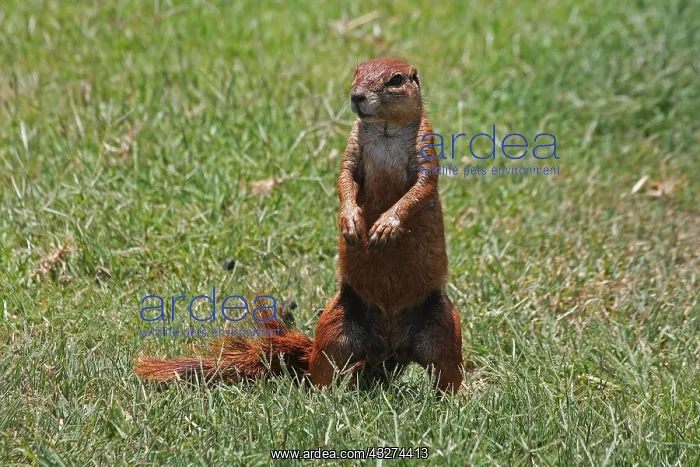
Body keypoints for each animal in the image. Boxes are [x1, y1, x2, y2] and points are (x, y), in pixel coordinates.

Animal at [135, 58, 464, 393]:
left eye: (396, 79)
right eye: (356, 72)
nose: (357, 96)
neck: (386, 131)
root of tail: (389, 349)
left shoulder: (427, 146)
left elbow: (419, 189)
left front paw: (386, 225)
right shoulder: (351, 148)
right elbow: (344, 179)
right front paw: (350, 221)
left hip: (445, 328)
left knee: (446, 372)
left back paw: (449, 400)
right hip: (335, 326)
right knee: (322, 370)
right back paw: (325, 395)